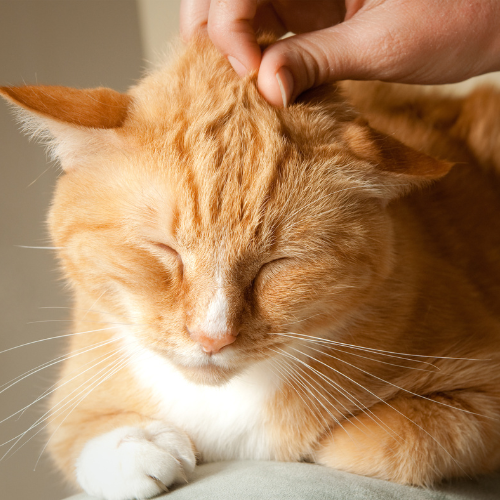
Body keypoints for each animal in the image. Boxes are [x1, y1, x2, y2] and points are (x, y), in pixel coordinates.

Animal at [0, 36, 500, 500]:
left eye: (278, 263)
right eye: (165, 250)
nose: (212, 338)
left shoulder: (481, 388)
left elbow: (384, 443)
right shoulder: (78, 389)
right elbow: (77, 435)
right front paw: (136, 448)